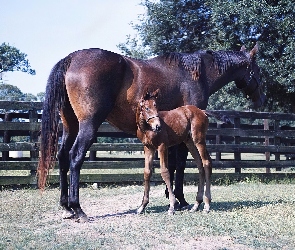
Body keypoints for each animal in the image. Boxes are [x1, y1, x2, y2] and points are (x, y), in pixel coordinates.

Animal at [37, 44, 266, 222]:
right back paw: (78, 209)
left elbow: (171, 165)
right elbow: (179, 164)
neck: (197, 73)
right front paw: (180, 199)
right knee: (75, 157)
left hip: (70, 126)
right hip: (88, 125)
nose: (260, 98)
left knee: (63, 157)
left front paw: (171, 197)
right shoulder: (183, 137)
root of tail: (70, 59)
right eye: (257, 70)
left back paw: (66, 207)